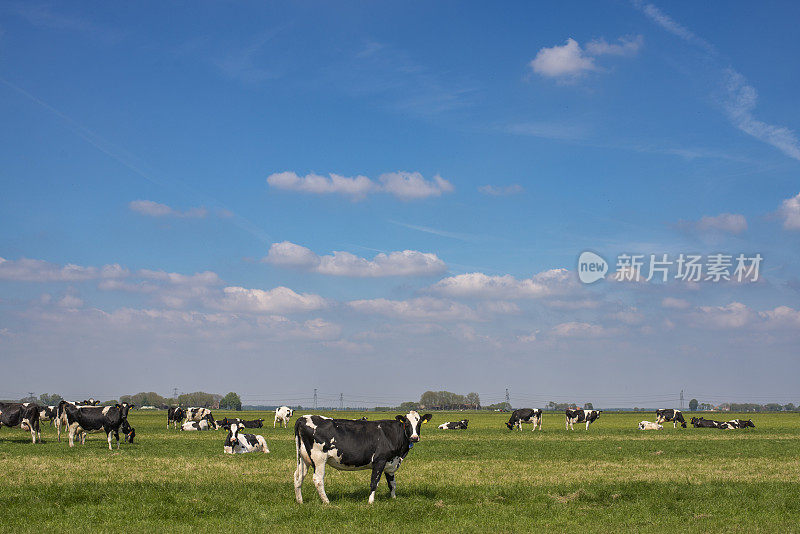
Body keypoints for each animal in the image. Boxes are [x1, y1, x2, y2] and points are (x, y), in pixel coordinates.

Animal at [294, 412, 432, 504]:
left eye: (419, 423)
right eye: (407, 423)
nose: (414, 437)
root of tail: (303, 417)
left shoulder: (391, 462)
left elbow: (392, 484)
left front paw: (394, 498)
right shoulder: (379, 460)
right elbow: (374, 482)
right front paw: (370, 502)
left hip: (304, 459)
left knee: (298, 476)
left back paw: (300, 501)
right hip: (319, 458)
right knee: (318, 479)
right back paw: (327, 502)